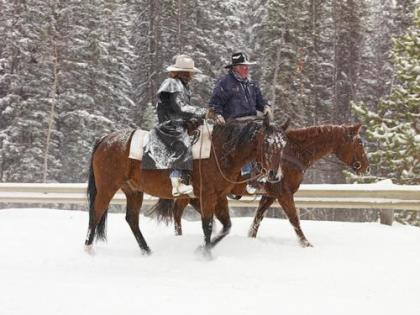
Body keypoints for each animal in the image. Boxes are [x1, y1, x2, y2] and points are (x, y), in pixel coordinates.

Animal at [84, 117, 286, 258]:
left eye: (283, 145)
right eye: (267, 143)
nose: (275, 175)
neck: (220, 150)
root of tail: (105, 139)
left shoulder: (219, 197)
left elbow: (226, 226)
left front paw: (202, 249)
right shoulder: (207, 196)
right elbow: (208, 225)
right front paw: (206, 254)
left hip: (133, 191)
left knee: (132, 219)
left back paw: (146, 250)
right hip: (107, 187)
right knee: (96, 212)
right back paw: (88, 248)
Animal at [167, 123, 368, 247]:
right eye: (359, 142)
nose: (366, 167)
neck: (292, 153)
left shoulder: (270, 195)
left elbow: (258, 218)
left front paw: (251, 238)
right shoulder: (284, 194)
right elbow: (294, 219)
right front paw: (306, 243)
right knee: (177, 212)